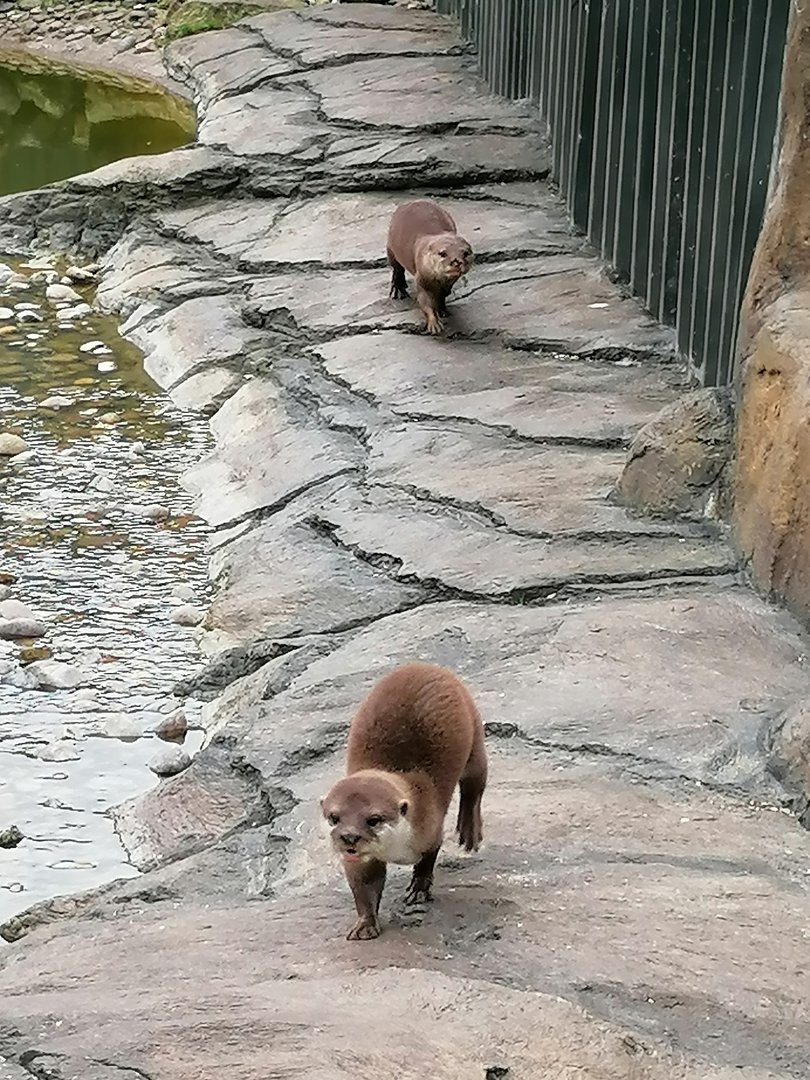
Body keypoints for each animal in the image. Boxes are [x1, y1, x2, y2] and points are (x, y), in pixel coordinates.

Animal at [321, 662, 487, 941]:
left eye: (373, 819)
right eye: (334, 817)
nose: (349, 837)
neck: (396, 850)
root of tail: (428, 665)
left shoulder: (430, 828)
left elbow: (428, 859)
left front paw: (418, 889)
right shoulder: (359, 863)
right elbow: (364, 888)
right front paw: (365, 925)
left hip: (475, 737)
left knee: (475, 785)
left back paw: (469, 832)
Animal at [386, 199, 473, 335]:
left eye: (466, 253)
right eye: (442, 253)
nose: (456, 261)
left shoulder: (449, 282)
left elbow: (442, 295)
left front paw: (442, 309)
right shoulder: (421, 278)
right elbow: (425, 301)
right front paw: (434, 324)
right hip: (390, 246)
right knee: (397, 268)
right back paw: (399, 290)